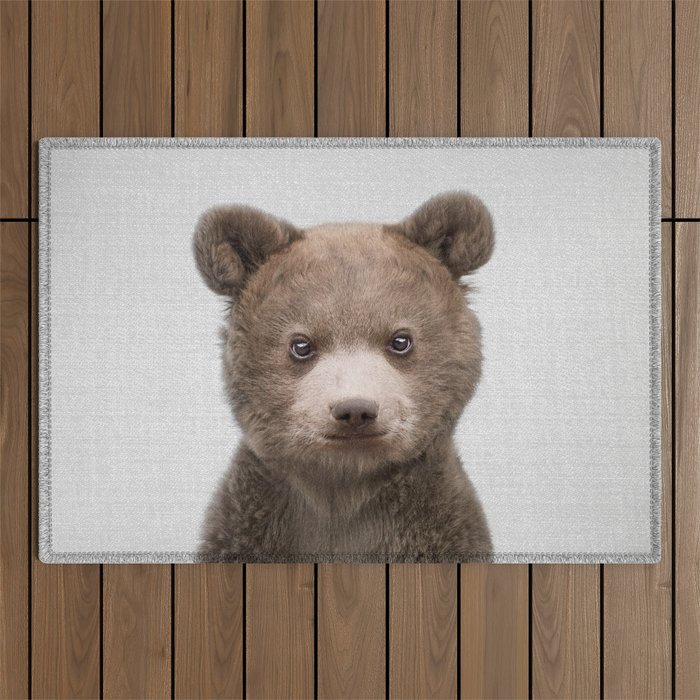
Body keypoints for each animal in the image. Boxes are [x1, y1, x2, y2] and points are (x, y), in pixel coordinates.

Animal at [193, 191, 494, 562]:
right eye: (301, 345)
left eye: (400, 340)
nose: (355, 410)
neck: (344, 488)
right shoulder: (247, 527)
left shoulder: (440, 528)